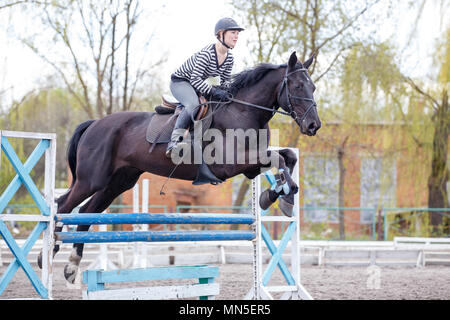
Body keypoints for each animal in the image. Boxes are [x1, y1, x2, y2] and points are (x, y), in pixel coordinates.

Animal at [38, 51, 320, 282]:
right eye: (297, 85)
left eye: (314, 87)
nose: (313, 126)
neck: (243, 112)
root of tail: (94, 123)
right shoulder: (231, 165)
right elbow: (280, 160)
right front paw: (281, 197)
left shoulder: (252, 165)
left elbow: (287, 157)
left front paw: (276, 195)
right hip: (91, 180)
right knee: (63, 205)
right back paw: (46, 255)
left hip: (117, 183)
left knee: (88, 212)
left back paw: (72, 266)